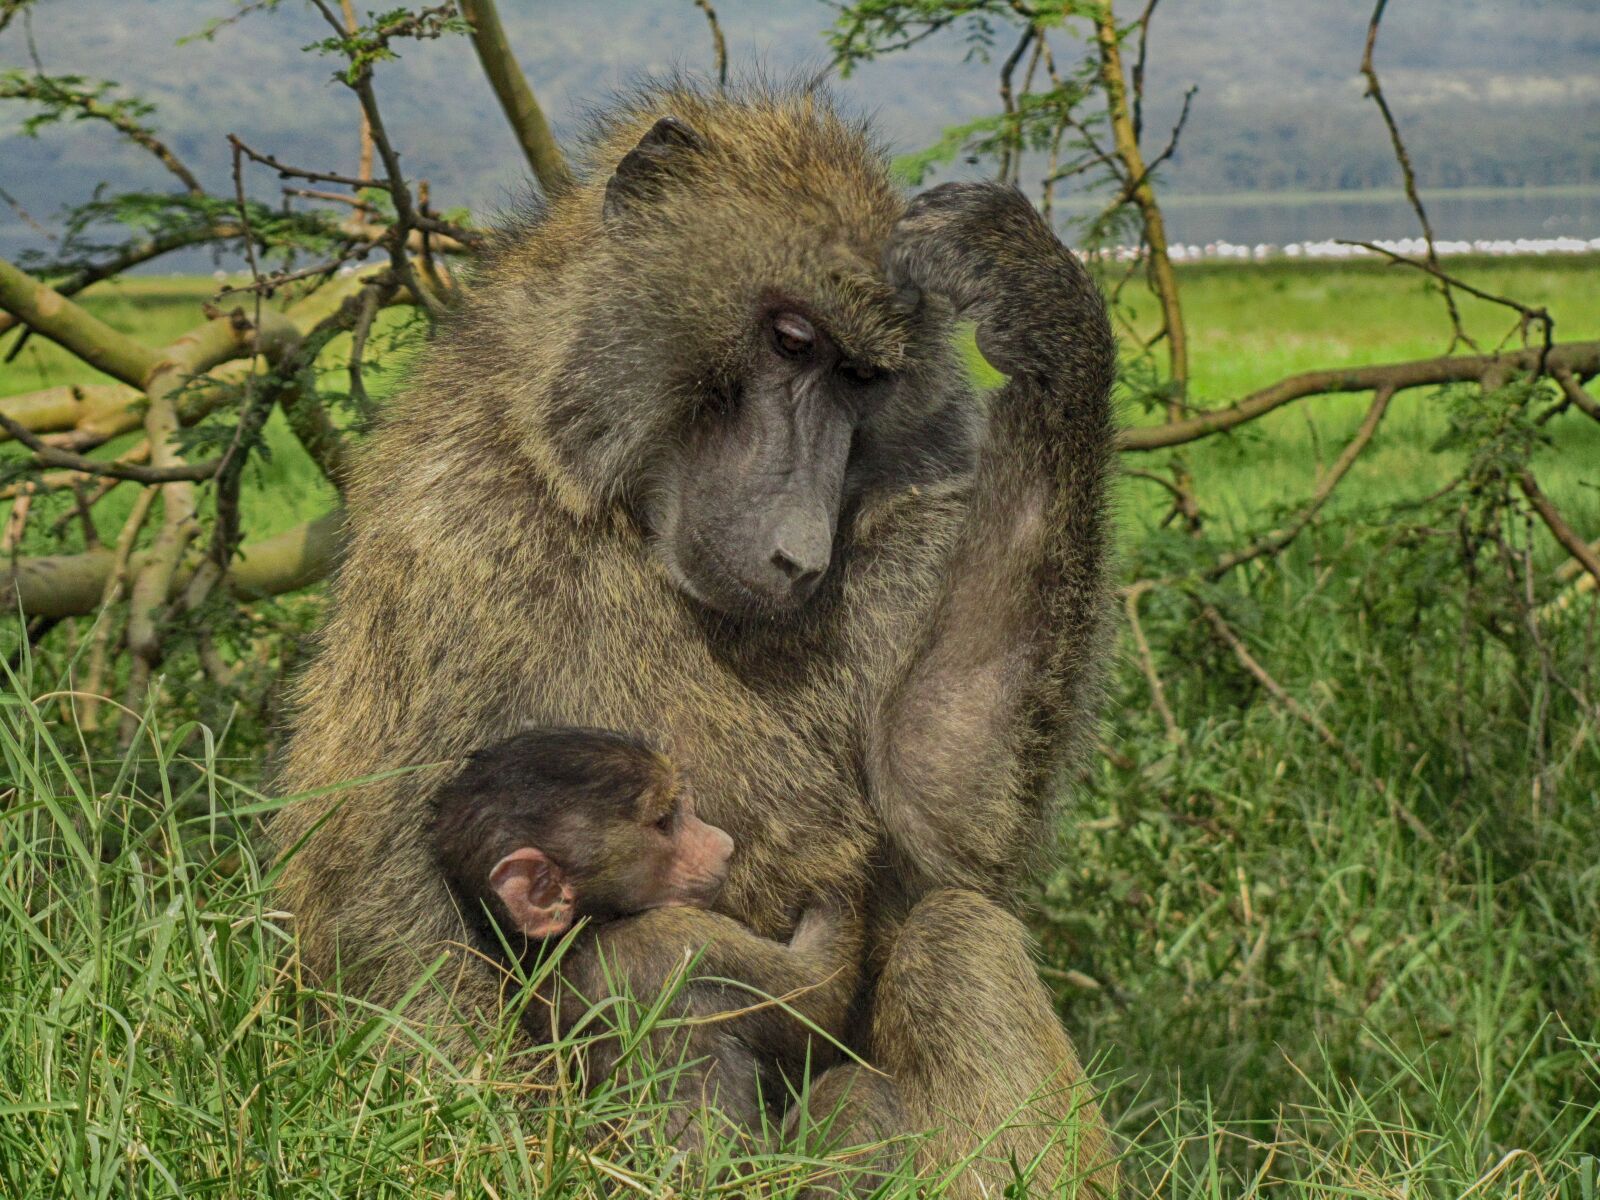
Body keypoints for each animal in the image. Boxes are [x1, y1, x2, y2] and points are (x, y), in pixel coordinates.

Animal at [428, 726, 860, 1139]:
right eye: (664, 820)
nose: (725, 845)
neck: (564, 945)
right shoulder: (679, 937)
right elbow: (819, 1001)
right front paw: (845, 869)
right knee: (857, 1087)